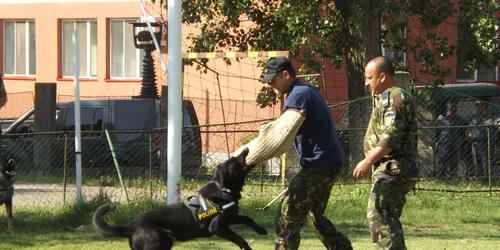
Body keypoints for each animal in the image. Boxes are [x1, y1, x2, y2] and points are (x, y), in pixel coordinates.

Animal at [93, 148, 266, 250]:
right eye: (235, 161)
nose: (246, 148)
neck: (224, 189)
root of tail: (130, 227)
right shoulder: (217, 227)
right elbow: (241, 240)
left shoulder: (230, 218)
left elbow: (247, 218)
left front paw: (261, 230)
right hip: (159, 242)